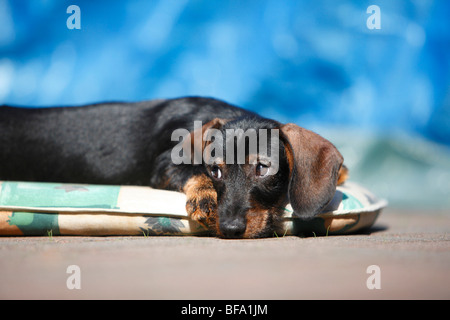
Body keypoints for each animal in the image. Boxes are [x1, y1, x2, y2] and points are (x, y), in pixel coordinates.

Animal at [0, 97, 348, 238]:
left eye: (263, 169)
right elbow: (189, 172)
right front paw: (204, 196)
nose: (230, 229)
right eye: (214, 172)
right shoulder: (164, 166)